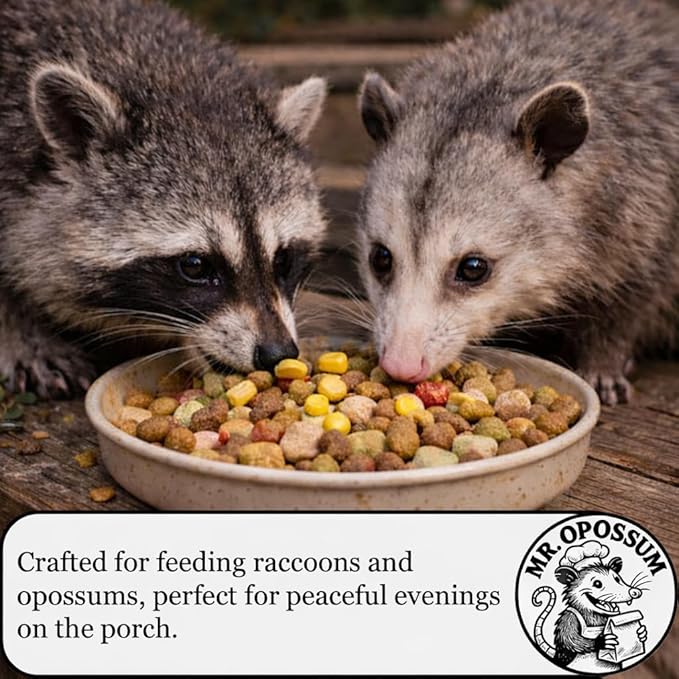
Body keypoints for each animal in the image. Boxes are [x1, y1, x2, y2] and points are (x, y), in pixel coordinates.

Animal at [357, 0, 679, 405]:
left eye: (473, 268)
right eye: (380, 258)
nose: (400, 364)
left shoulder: (649, 212)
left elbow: (629, 303)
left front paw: (604, 365)